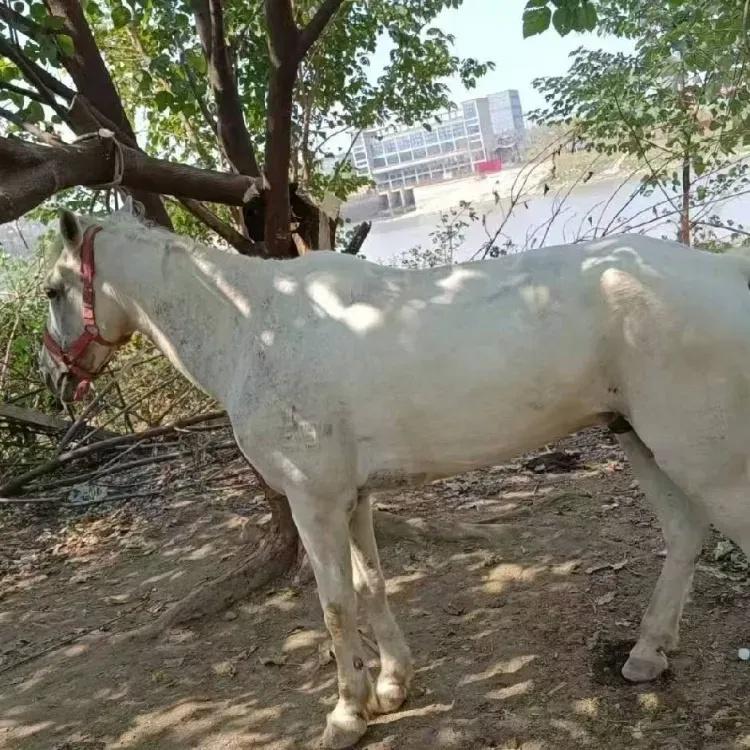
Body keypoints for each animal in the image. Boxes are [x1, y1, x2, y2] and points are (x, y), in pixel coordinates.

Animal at [39, 205, 750, 749]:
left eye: (52, 292)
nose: (56, 379)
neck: (255, 327)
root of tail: (726, 270)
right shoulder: (353, 499)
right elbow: (371, 586)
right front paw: (390, 685)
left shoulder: (315, 502)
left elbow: (334, 606)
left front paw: (346, 714)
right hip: (642, 442)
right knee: (684, 535)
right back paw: (647, 652)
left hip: (706, 461)